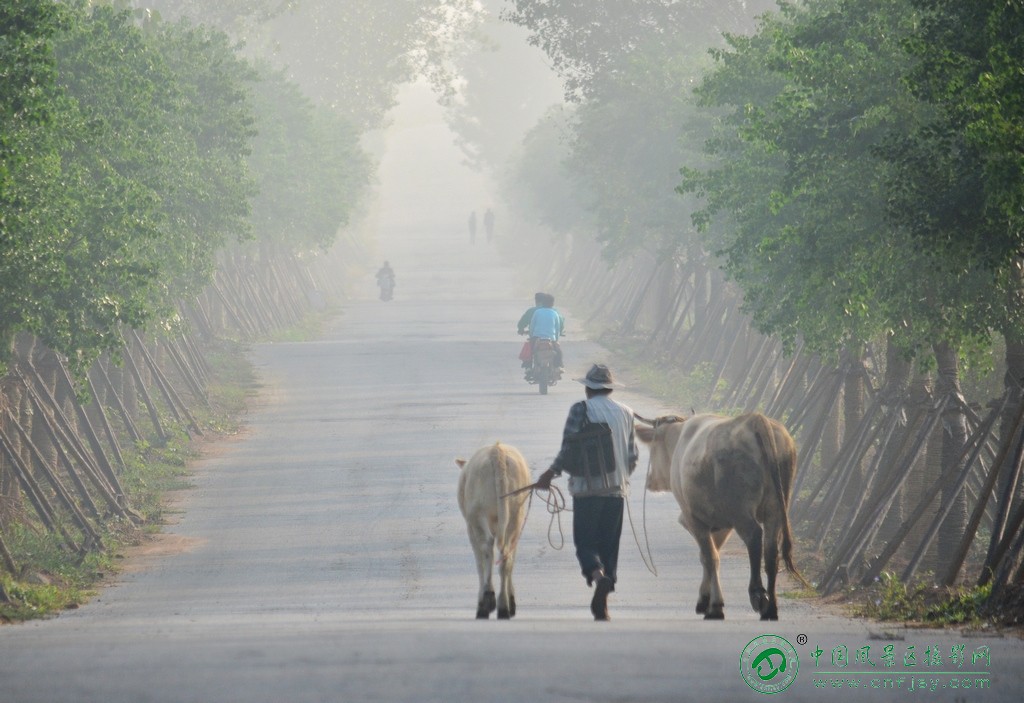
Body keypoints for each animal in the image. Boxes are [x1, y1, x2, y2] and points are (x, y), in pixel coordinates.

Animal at [458, 442, 532, 618]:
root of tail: (497, 452)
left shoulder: (470, 527)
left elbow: (479, 563)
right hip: (516, 513)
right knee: (506, 554)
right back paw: (504, 606)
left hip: (477, 513)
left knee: (486, 549)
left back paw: (487, 601)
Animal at [630, 413, 806, 622]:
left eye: (653, 448)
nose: (650, 481)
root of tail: (754, 419)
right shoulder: (722, 524)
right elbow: (712, 555)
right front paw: (705, 601)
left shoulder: (694, 518)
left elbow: (709, 557)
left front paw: (714, 606)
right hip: (777, 508)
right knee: (771, 552)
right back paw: (771, 608)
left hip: (740, 511)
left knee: (754, 537)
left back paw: (757, 593)